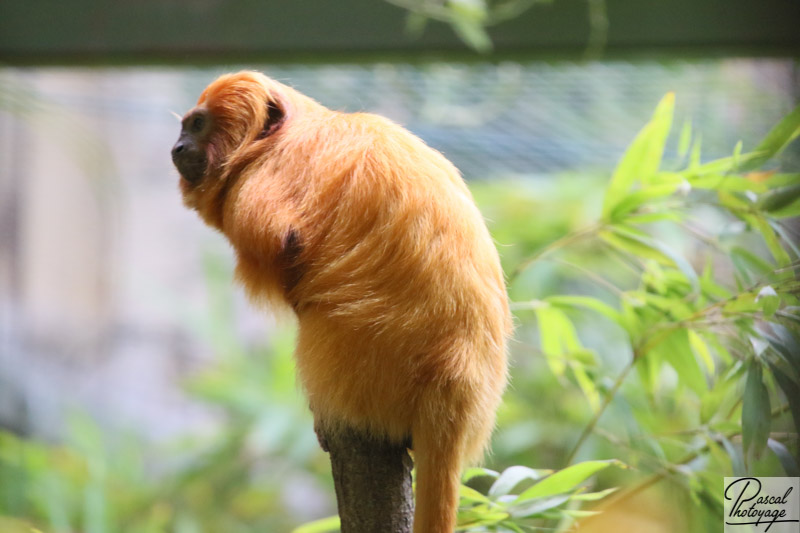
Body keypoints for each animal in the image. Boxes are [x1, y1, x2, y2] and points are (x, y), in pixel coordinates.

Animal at [171, 71, 510, 532]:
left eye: (198, 125)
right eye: (184, 127)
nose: (177, 147)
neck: (275, 140)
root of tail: (455, 386)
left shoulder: (269, 177)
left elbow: (286, 240)